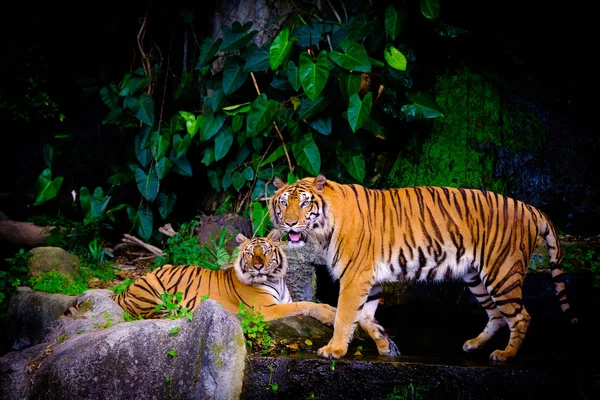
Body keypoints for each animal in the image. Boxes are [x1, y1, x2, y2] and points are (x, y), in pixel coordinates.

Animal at [111, 231, 338, 324]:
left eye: (265, 251)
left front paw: (334, 311)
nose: (258, 266)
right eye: (249, 253)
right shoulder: (267, 309)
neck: (276, 279)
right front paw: (328, 317)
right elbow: (305, 305)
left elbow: (314, 303)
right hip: (152, 290)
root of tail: (122, 292)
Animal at [268, 173, 576, 360]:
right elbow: (365, 317)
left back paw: (505, 355)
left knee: (521, 316)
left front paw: (334, 349)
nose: (290, 224)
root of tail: (530, 208)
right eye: (283, 204)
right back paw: (473, 344)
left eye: (304, 204)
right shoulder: (370, 280)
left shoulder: (355, 276)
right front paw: (386, 345)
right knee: (497, 315)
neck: (324, 229)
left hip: (502, 272)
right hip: (476, 277)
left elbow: (345, 316)